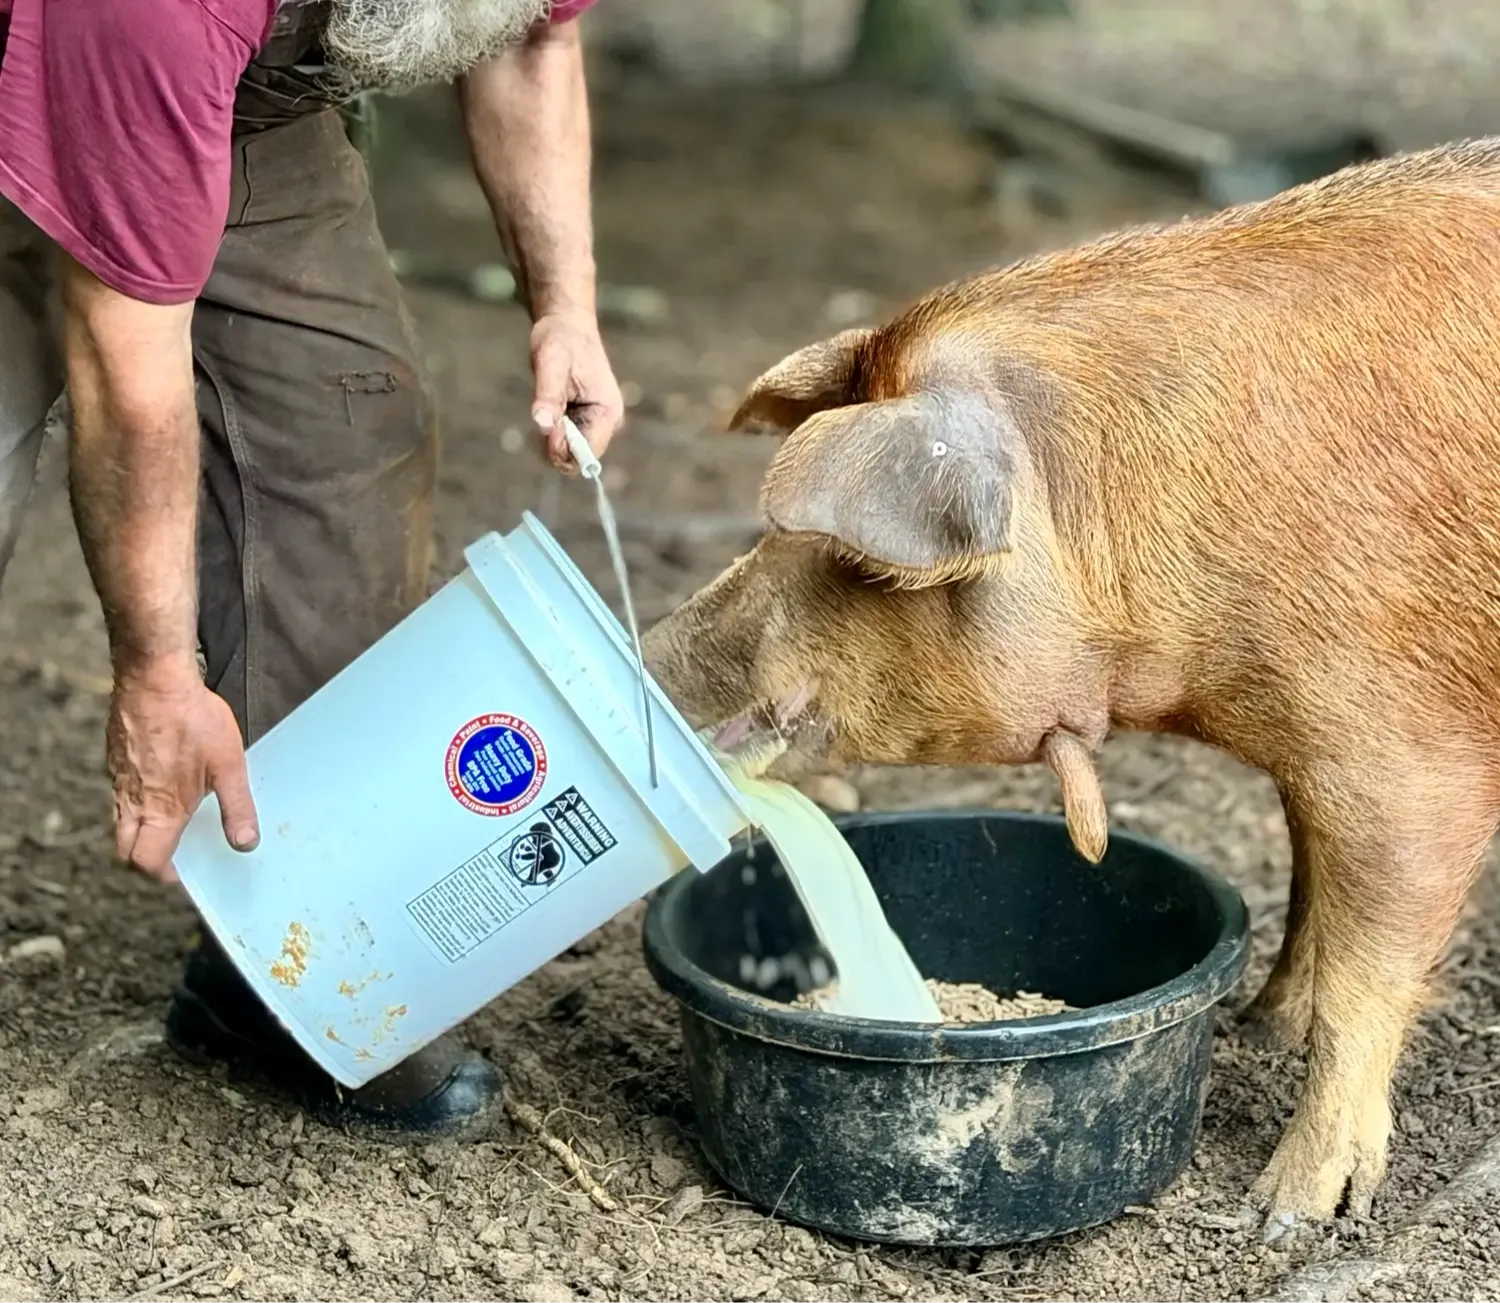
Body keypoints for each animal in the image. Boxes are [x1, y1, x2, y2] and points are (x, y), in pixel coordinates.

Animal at [643, 138, 1500, 1237]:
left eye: (859, 561)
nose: (646, 649)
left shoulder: (1404, 752)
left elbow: (1366, 965)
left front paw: (1283, 1212)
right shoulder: (1308, 756)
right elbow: (1308, 882)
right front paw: (1263, 1023)